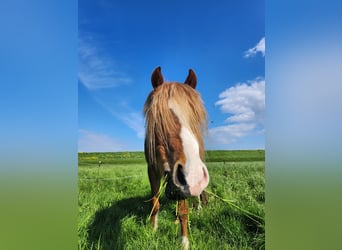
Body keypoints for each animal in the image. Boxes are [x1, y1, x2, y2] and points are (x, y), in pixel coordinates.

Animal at [144, 67, 210, 250]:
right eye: (159, 118)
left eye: (196, 117)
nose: (193, 174)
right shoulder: (152, 170)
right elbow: (155, 202)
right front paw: (153, 229)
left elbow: (183, 210)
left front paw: (184, 242)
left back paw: (199, 208)